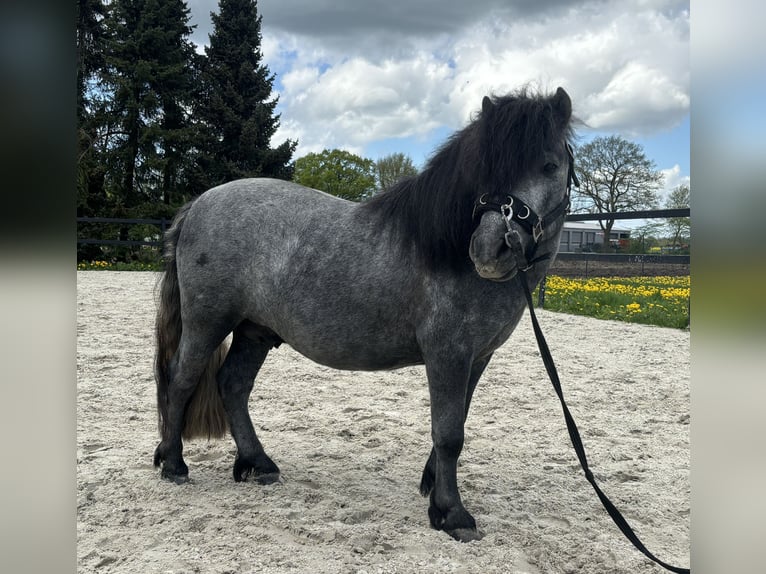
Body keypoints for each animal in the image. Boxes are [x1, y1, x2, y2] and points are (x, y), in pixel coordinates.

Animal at [154, 85, 576, 544]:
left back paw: (257, 464)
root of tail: (200, 203)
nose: (489, 250)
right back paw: (174, 464)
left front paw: (432, 488)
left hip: (255, 331)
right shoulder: (448, 355)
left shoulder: (477, 358)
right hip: (207, 323)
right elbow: (449, 433)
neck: (445, 252)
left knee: (232, 384)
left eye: (549, 165)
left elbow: (456, 421)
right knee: (182, 379)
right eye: (484, 170)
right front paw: (452, 513)